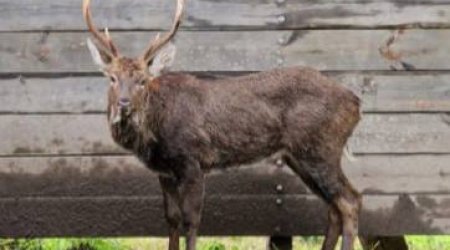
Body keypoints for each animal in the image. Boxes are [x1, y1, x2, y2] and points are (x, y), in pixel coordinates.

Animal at [81, 0, 362, 250]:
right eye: (112, 78)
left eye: (142, 80)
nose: (124, 103)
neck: (155, 134)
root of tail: (356, 102)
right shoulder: (165, 172)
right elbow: (171, 220)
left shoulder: (193, 160)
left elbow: (191, 220)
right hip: (301, 156)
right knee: (334, 207)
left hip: (321, 149)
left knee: (350, 201)